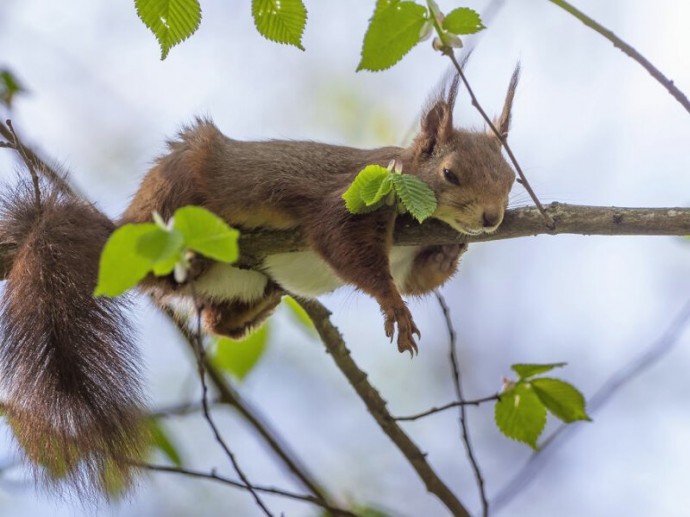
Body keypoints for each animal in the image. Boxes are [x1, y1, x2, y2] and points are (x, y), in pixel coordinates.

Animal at [0, 66, 516, 494]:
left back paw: (260, 304)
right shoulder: (357, 193)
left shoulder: (409, 258)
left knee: (217, 321)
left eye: (511, 178)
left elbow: (420, 277)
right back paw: (189, 254)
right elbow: (344, 247)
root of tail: (120, 232)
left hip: (242, 287)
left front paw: (451, 251)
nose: (491, 218)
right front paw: (394, 306)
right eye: (450, 174)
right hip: (179, 183)